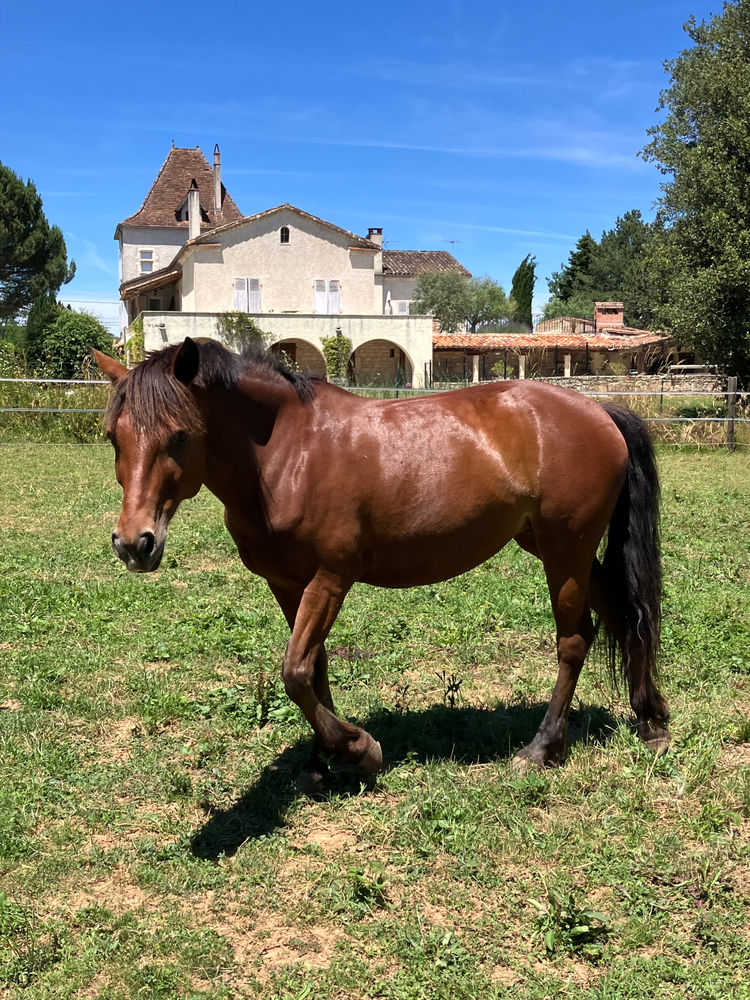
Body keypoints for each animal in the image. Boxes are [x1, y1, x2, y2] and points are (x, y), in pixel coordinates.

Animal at [93, 337, 669, 793]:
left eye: (179, 435)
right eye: (113, 436)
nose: (134, 544)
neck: (288, 453)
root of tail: (601, 412)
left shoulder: (330, 579)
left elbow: (295, 672)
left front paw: (359, 750)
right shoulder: (287, 583)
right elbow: (315, 667)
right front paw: (321, 762)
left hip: (566, 549)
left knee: (575, 640)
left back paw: (542, 748)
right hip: (552, 546)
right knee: (624, 615)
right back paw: (650, 721)